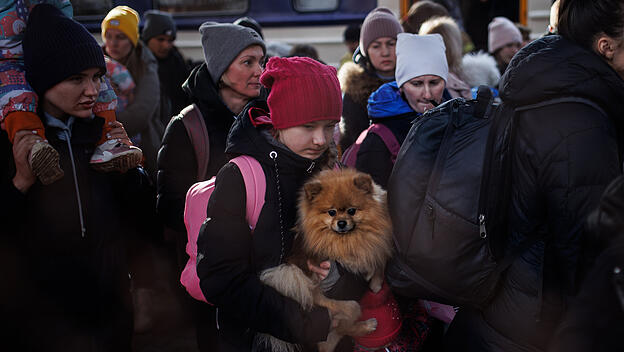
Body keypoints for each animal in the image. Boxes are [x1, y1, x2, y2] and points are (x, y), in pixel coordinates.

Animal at [256, 168, 392, 352]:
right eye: (331, 212)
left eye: (352, 211)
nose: (341, 223)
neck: (350, 237)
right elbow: (363, 259)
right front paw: (371, 275)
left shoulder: (378, 239)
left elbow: (379, 258)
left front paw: (376, 282)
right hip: (348, 306)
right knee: (340, 331)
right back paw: (367, 326)